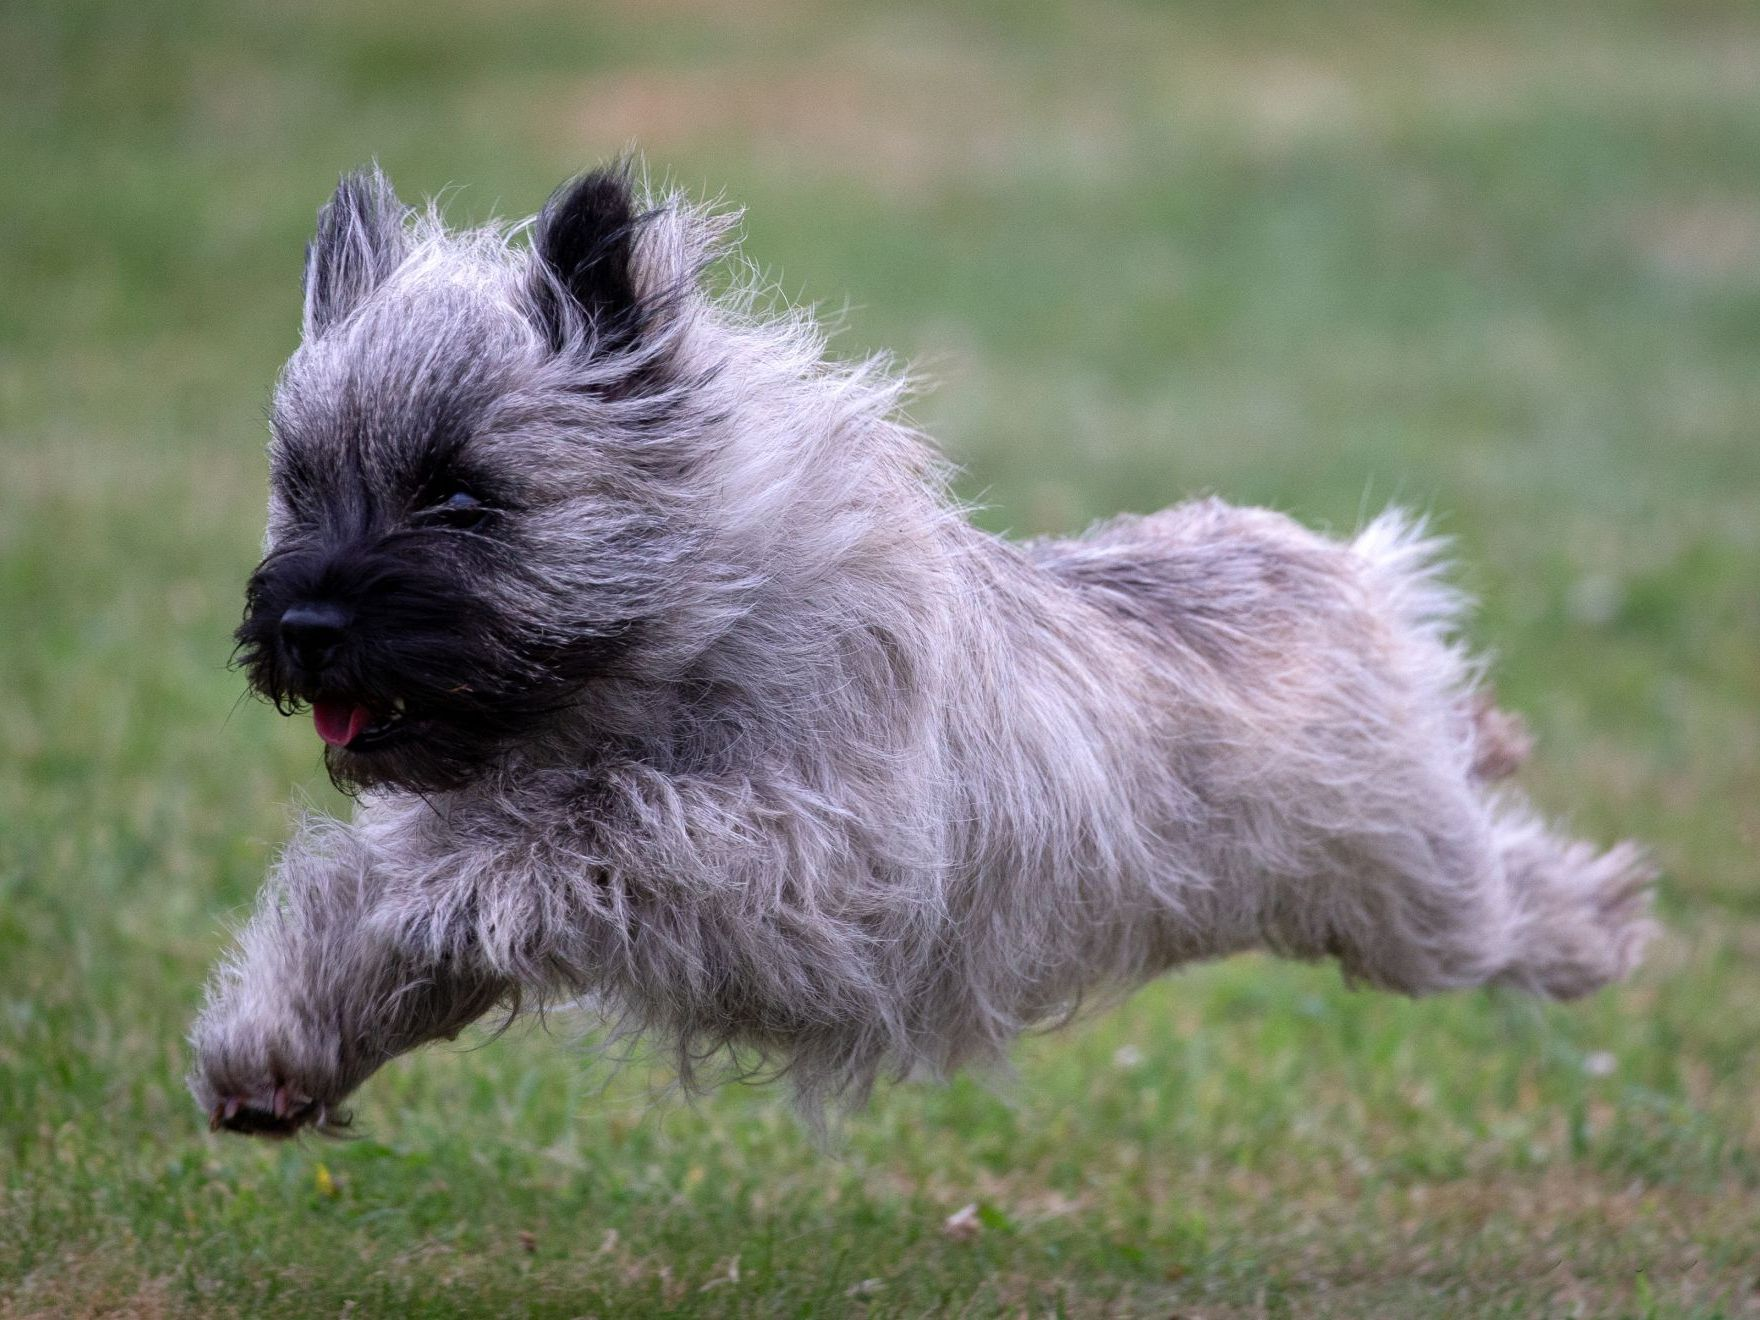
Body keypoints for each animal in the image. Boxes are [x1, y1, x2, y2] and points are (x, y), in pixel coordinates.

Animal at [185, 165, 1654, 1140]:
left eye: (462, 497)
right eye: (301, 486)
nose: (303, 628)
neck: (679, 631)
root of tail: (1344, 571)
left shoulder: (809, 867)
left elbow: (584, 837)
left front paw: (466, 876)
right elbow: (373, 914)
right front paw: (278, 1049)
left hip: (1413, 892)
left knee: (1509, 891)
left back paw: (1601, 918)